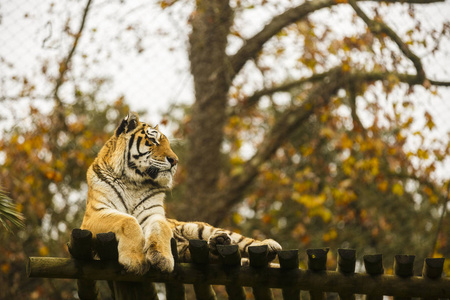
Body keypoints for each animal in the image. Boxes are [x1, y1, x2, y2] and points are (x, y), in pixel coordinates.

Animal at [80, 112, 282, 274]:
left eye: (168, 144)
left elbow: (160, 227)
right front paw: (135, 260)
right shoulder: (95, 215)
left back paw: (267, 245)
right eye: (153, 141)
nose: (175, 160)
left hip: (198, 227)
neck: (134, 182)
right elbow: (127, 220)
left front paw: (162, 259)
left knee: (241, 240)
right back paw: (219, 243)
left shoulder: (153, 215)